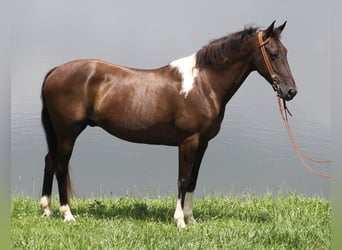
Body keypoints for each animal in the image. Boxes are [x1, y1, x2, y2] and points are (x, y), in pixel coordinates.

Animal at [39, 22, 296, 229]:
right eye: (273, 54)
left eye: (285, 52)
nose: (290, 91)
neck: (204, 84)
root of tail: (55, 71)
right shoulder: (188, 141)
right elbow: (182, 179)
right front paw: (180, 221)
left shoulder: (202, 143)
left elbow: (192, 180)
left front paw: (191, 219)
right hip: (68, 132)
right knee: (60, 165)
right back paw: (67, 214)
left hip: (58, 134)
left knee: (50, 161)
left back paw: (47, 209)